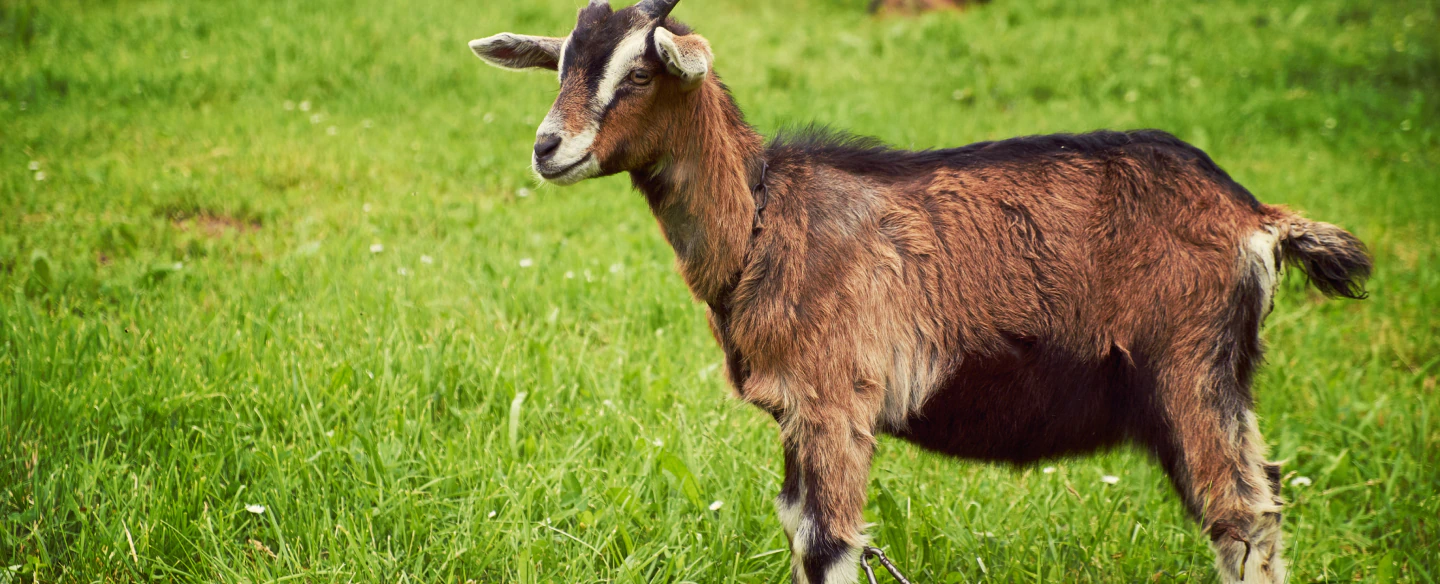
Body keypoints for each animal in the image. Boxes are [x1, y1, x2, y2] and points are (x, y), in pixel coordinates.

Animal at [469, 1, 1372, 582]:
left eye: (640, 70)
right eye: (561, 64)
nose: (548, 147)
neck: (764, 216)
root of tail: (1253, 215)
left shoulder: (836, 400)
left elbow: (831, 544)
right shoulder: (796, 410)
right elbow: (800, 527)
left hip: (1190, 372)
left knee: (1242, 519)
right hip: (1219, 383)